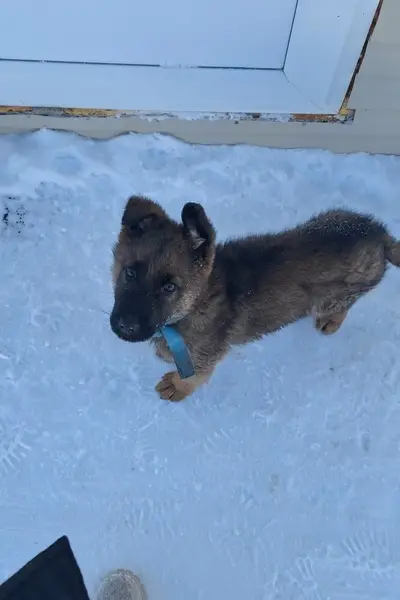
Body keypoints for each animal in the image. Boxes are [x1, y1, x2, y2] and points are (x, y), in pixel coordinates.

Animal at [110, 195, 400, 402]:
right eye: (130, 272)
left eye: (170, 287)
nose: (125, 326)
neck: (195, 304)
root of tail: (381, 236)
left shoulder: (206, 358)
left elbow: (195, 377)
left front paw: (177, 386)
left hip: (338, 296)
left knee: (343, 306)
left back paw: (330, 321)